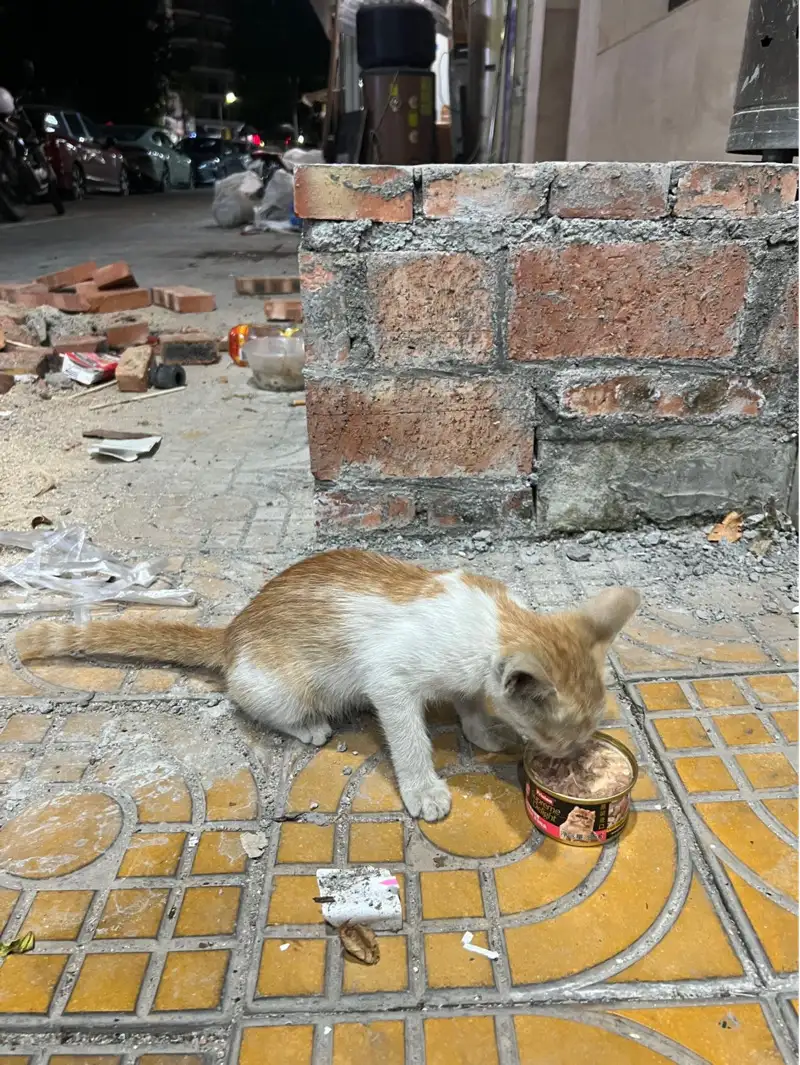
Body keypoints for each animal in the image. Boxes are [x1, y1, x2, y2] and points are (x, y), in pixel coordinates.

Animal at [17, 553, 639, 817]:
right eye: (562, 740)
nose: (576, 757)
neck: (490, 625)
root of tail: (233, 631)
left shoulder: (466, 676)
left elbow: (468, 699)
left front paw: (480, 728)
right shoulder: (390, 681)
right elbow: (409, 739)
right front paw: (424, 788)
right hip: (279, 686)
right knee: (247, 702)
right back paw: (309, 726)